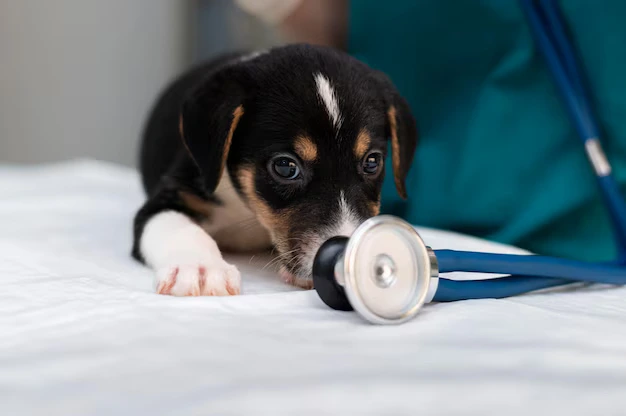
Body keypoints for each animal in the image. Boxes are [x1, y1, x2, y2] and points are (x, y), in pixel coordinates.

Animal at [131, 44, 414, 296]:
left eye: (372, 162)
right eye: (285, 167)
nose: (343, 257)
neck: (249, 211)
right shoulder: (169, 198)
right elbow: (180, 229)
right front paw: (201, 269)